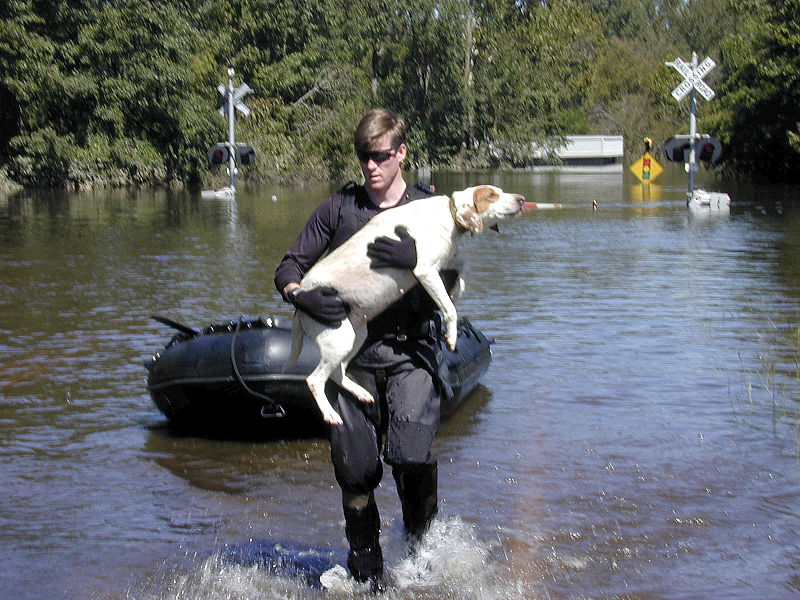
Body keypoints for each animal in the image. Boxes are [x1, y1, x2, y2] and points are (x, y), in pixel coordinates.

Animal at [284, 185, 528, 424]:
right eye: (492, 195)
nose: (522, 199)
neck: (448, 214)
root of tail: (300, 304)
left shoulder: (443, 262)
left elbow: (462, 265)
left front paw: (458, 288)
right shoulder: (425, 270)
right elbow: (449, 308)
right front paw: (450, 337)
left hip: (355, 336)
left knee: (338, 373)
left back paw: (361, 393)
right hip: (337, 340)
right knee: (314, 380)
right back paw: (330, 414)